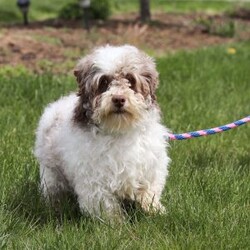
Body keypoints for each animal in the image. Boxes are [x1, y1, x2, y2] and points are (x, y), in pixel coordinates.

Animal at [34, 45, 171, 221]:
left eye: (131, 80)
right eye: (104, 82)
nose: (118, 99)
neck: (119, 130)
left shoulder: (150, 167)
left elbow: (149, 191)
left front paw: (154, 211)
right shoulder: (95, 180)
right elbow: (105, 206)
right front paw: (114, 223)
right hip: (51, 170)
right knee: (54, 190)